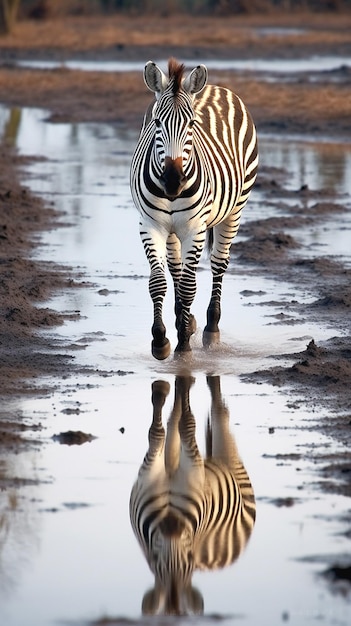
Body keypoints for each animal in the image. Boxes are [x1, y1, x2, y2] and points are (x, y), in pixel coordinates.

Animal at [129, 372, 256, 612]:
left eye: (189, 556)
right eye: (154, 558)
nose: (173, 527)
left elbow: (173, 428)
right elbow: (169, 429)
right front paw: (172, 387)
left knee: (202, 418)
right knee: (186, 422)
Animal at [130, 61, 258, 360]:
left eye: (191, 124)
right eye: (156, 123)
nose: (172, 181)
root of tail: (214, 87)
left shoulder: (195, 228)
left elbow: (189, 286)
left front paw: (184, 345)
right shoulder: (150, 225)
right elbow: (158, 282)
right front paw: (161, 339)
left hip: (235, 210)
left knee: (219, 263)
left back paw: (211, 328)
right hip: (173, 230)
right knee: (176, 268)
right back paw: (183, 320)